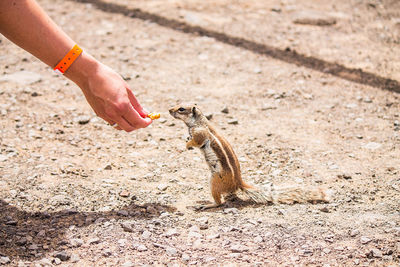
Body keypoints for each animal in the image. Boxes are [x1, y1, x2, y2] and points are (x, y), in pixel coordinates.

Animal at [168, 104, 332, 211]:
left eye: (181, 109)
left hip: (214, 181)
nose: (169, 110)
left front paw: (187, 145)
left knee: (219, 202)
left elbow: (196, 141)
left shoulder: (200, 133)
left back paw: (206, 204)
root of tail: (238, 183)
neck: (199, 122)